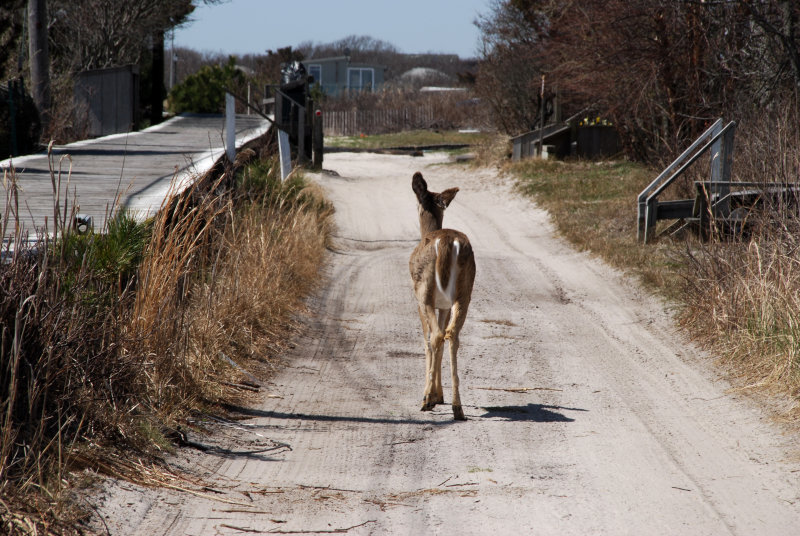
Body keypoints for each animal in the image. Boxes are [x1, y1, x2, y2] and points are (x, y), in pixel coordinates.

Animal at [406, 172, 476, 418]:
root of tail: (445, 241)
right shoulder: (444, 304)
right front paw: (440, 395)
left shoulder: (418, 301)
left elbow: (427, 340)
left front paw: (432, 396)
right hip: (464, 291)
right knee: (452, 334)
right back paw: (458, 407)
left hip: (424, 289)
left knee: (436, 335)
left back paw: (426, 400)